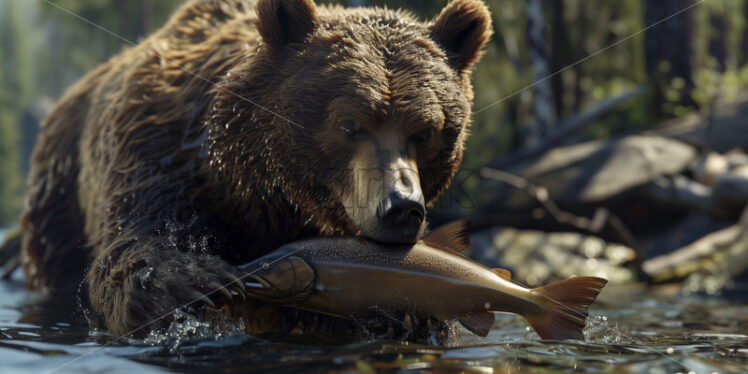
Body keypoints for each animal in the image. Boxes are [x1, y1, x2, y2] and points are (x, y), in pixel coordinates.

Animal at [16, 0, 490, 338]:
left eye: (426, 131)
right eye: (351, 124)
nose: (402, 207)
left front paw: (410, 315)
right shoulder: (156, 155)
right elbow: (133, 247)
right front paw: (194, 279)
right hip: (60, 198)